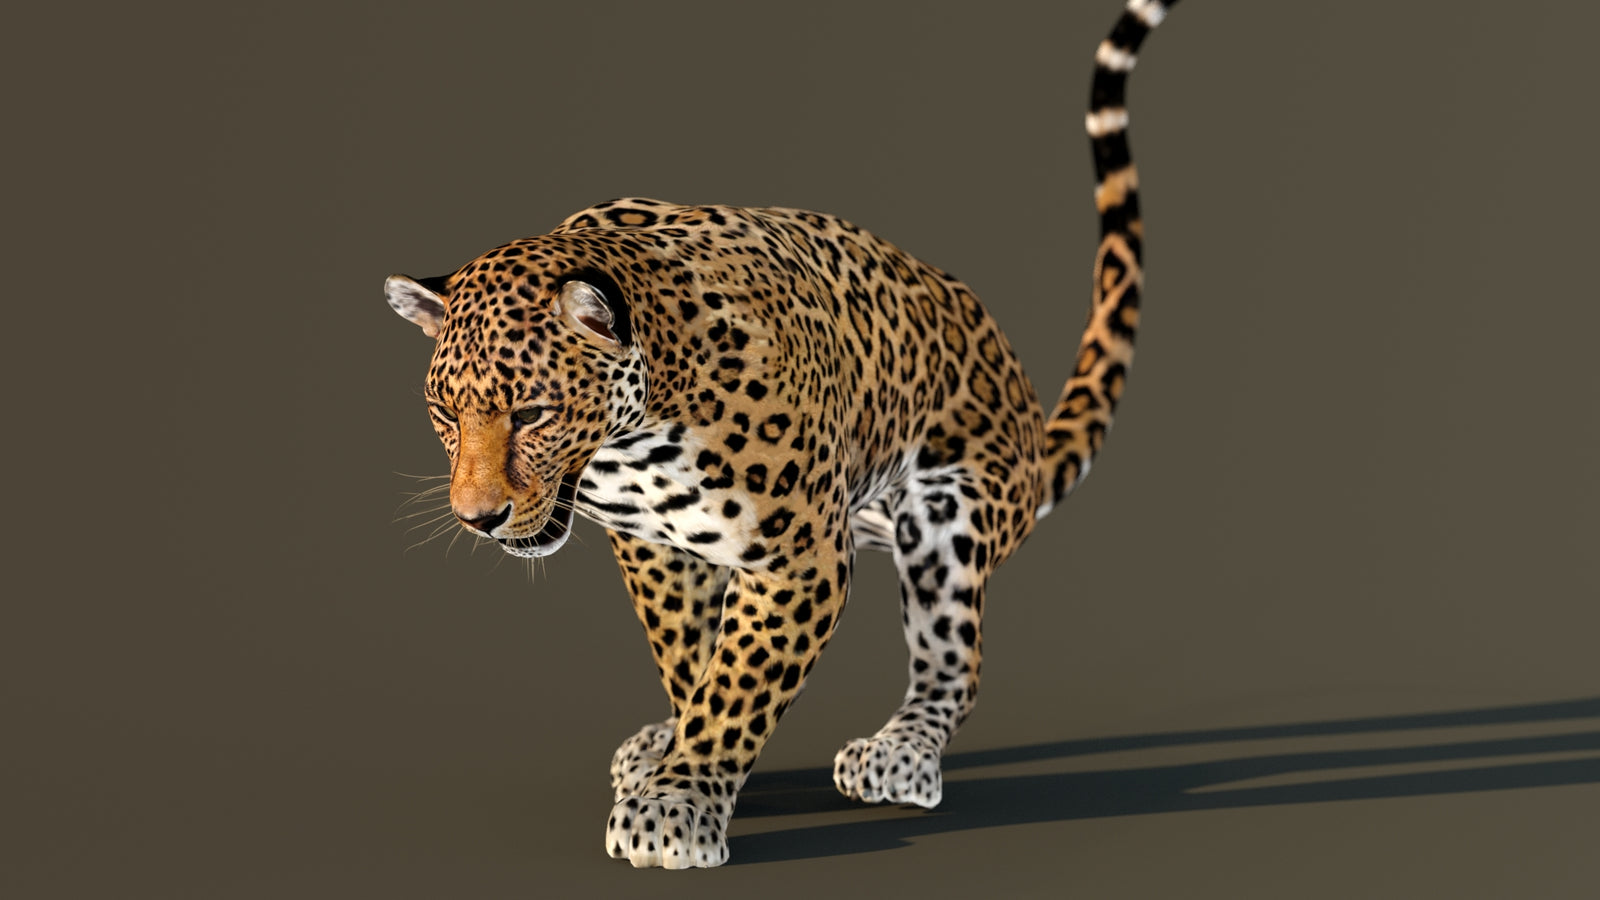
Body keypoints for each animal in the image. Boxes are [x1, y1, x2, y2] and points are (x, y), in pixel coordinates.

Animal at [384, 0, 1179, 869]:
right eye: (445, 416)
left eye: (532, 413)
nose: (478, 519)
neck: (637, 437)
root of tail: (1028, 419)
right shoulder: (656, 547)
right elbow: (690, 658)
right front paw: (677, 755)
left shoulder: (802, 555)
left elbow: (739, 679)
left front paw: (675, 806)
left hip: (949, 513)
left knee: (955, 663)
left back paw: (900, 753)